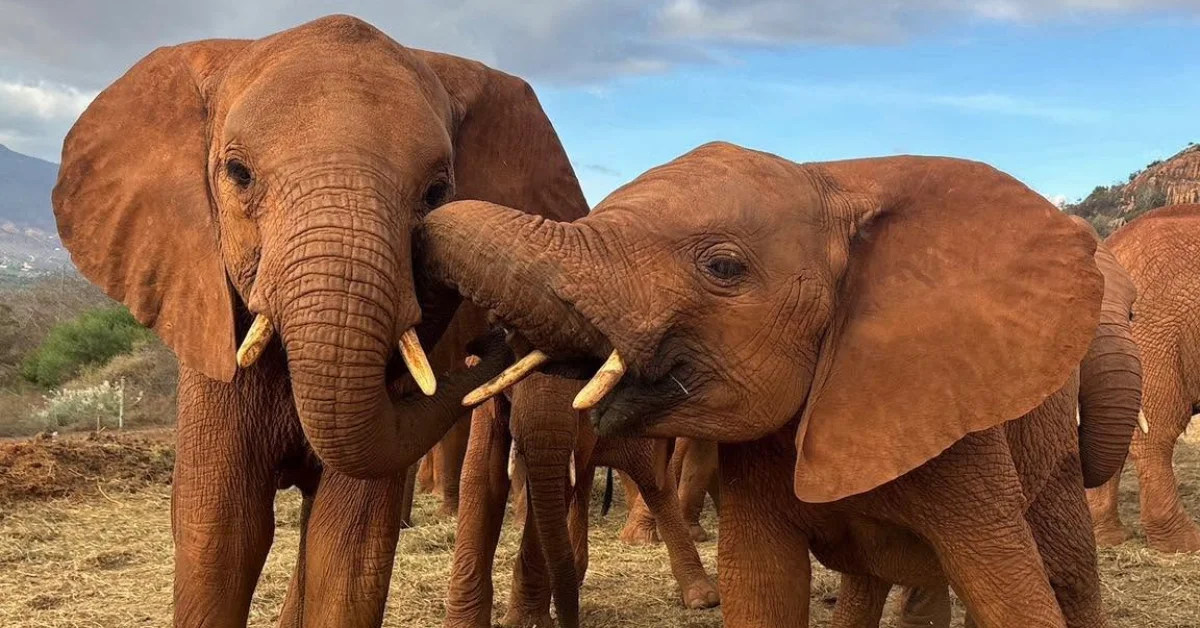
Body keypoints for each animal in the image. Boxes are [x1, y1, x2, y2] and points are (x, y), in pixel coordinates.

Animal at [444, 368, 719, 628]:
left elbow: (563, 478)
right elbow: (482, 475)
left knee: (654, 484)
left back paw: (701, 598)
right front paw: (465, 623)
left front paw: (526, 622)